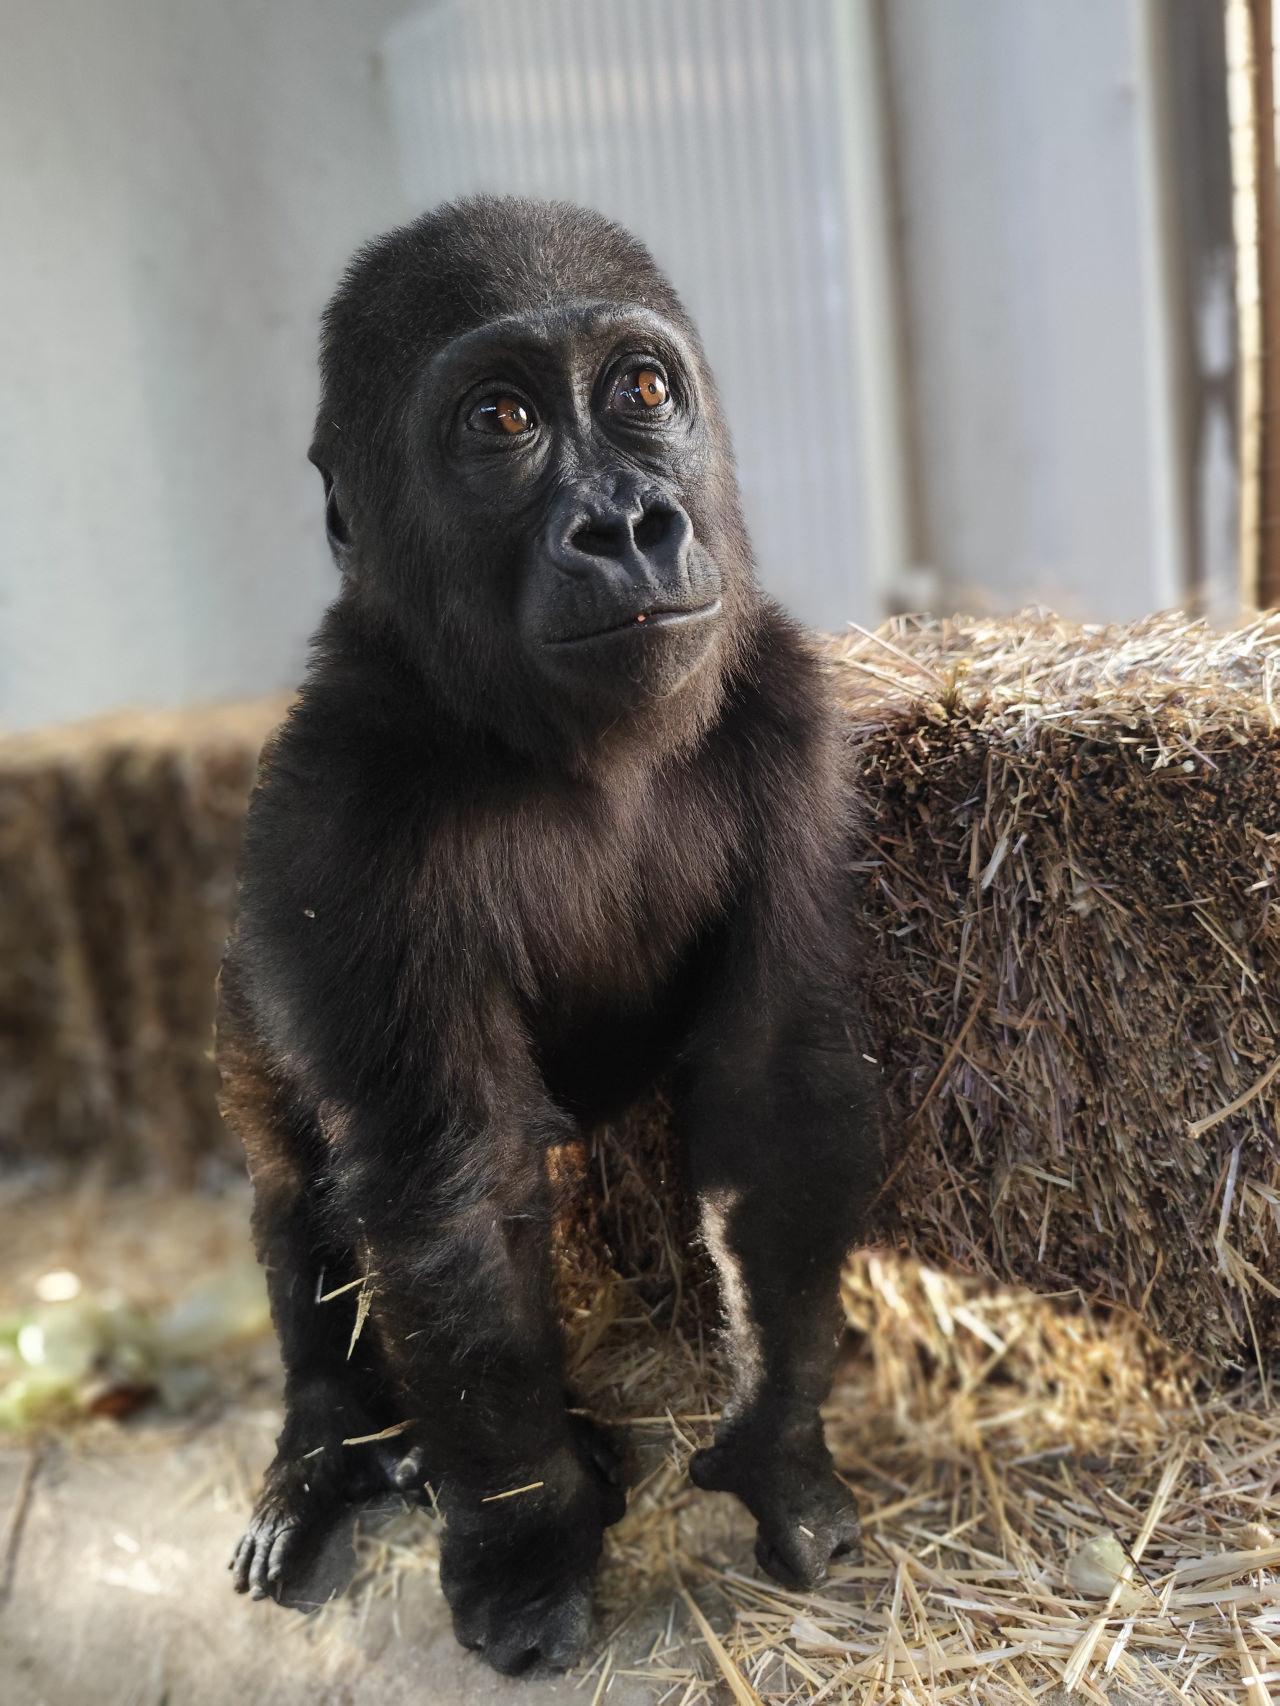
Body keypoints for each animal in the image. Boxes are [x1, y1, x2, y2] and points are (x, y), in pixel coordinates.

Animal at [218, 196, 880, 1665]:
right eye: (502, 419)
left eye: (639, 391)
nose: (627, 523)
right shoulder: (334, 816)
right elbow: (452, 1187)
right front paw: (526, 1542)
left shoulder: (788, 711)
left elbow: (766, 1089)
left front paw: (779, 1448)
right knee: (296, 1181)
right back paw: (332, 1446)